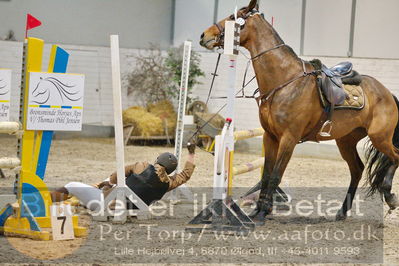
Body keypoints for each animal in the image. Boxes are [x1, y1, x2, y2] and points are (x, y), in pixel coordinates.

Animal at [202, 0, 399, 224]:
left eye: (232, 18)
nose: (204, 36)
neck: (285, 81)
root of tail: (387, 93)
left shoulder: (289, 138)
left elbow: (276, 174)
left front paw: (262, 212)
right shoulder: (270, 137)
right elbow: (266, 175)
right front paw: (258, 210)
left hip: (380, 137)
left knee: (395, 157)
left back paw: (389, 195)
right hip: (346, 140)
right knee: (357, 169)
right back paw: (342, 211)